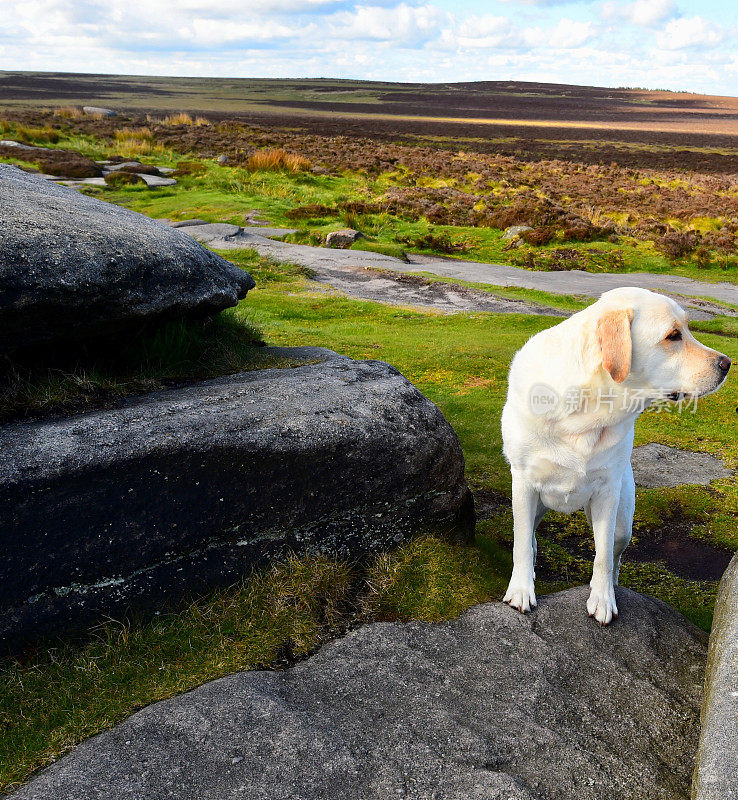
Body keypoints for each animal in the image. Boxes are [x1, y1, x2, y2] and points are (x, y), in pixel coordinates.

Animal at [500, 288, 732, 624]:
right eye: (673, 336)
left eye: (688, 329)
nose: (727, 363)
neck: (586, 409)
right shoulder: (523, 483)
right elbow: (520, 545)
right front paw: (520, 589)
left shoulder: (608, 492)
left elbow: (604, 557)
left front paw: (603, 598)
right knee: (528, 536)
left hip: (624, 522)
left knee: (615, 554)